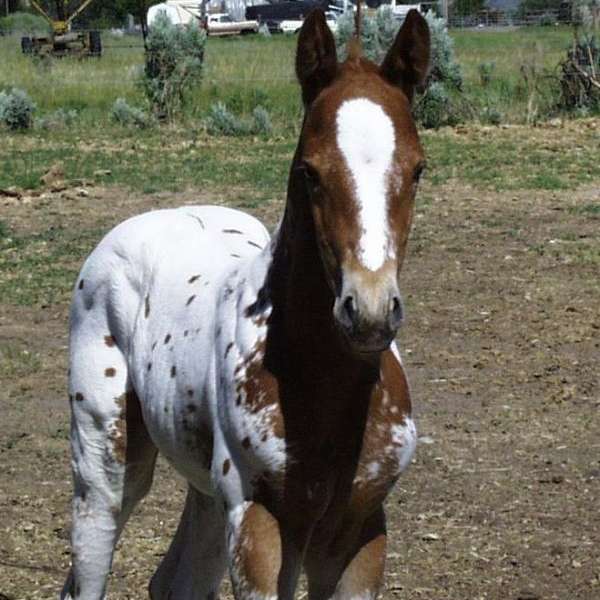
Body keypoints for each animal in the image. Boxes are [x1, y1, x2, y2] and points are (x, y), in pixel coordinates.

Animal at [62, 10, 432, 600]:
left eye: (418, 169)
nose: (370, 311)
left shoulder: (361, 526)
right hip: (109, 465)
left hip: (206, 491)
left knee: (174, 581)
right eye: (310, 171)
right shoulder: (257, 521)